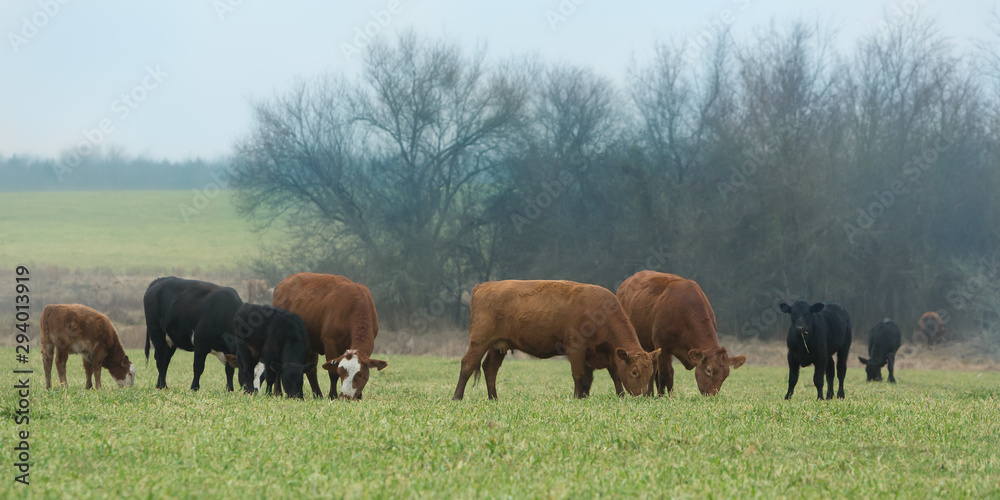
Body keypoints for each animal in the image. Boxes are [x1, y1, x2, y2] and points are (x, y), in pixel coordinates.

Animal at [272, 272, 388, 400]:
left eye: (360, 374)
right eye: (341, 372)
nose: (346, 396)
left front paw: (359, 396)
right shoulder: (330, 343)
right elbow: (332, 372)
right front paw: (333, 396)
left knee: (311, 370)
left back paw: (318, 395)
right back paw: (277, 392)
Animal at [456, 280, 664, 400]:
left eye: (651, 373)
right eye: (635, 372)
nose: (643, 396)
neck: (600, 313)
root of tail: (483, 286)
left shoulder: (605, 353)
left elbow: (611, 375)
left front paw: (617, 396)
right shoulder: (576, 348)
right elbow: (579, 375)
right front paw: (577, 397)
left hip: (498, 345)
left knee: (490, 369)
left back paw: (494, 398)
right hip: (480, 340)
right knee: (468, 364)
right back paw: (457, 397)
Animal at [612, 272, 748, 396]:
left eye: (726, 375)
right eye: (708, 370)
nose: (711, 395)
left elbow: (670, 373)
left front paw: (671, 397)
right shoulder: (662, 346)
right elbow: (664, 374)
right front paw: (660, 397)